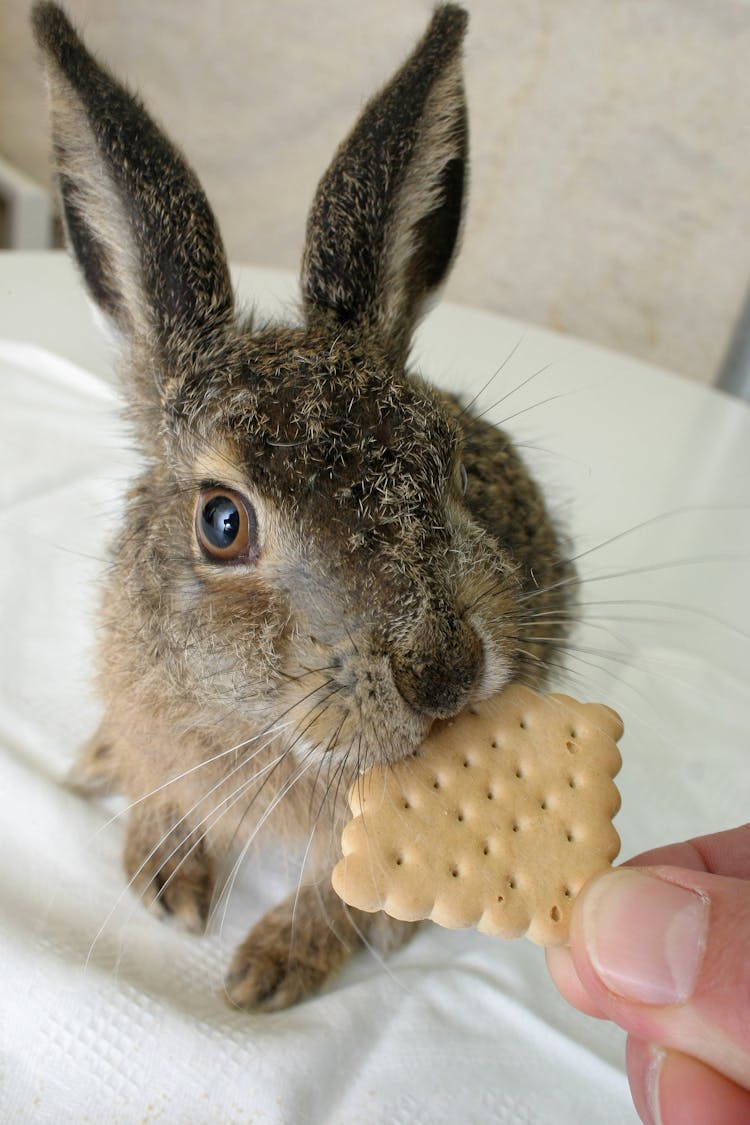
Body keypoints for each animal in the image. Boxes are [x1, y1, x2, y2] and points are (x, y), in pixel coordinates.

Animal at [33, 0, 575, 1017]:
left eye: (449, 454)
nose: (444, 672)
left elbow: (351, 893)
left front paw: (272, 963)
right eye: (222, 522)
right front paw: (166, 875)